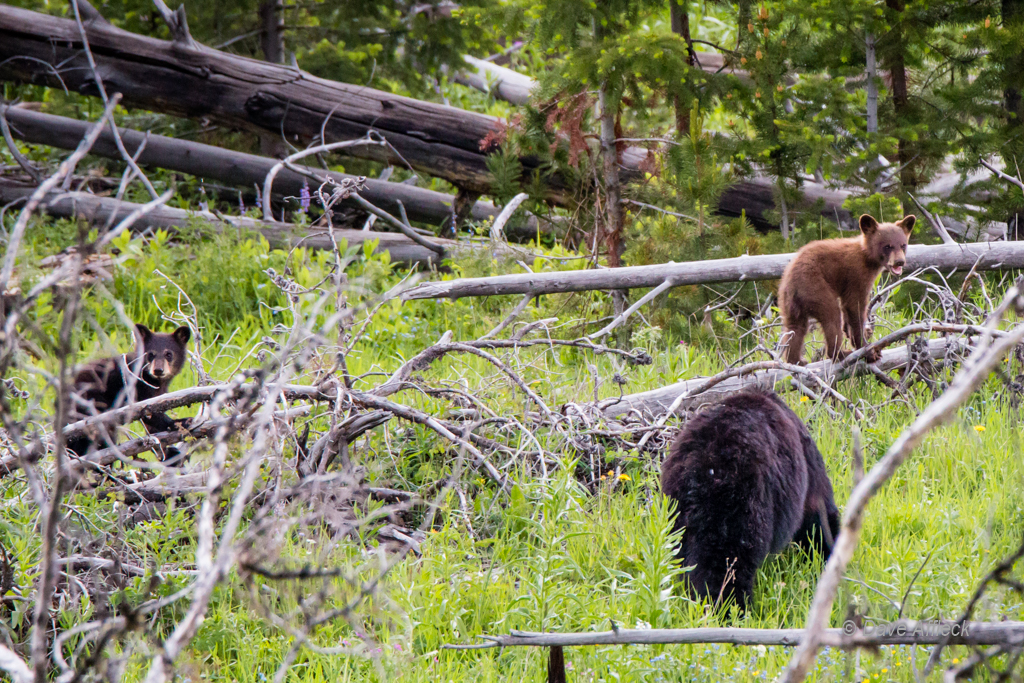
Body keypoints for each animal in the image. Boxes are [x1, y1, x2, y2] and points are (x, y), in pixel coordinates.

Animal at [68, 325, 192, 462]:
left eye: (168, 354)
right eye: (150, 354)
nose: (158, 370)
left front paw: (169, 452)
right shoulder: (139, 387)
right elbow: (148, 413)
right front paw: (180, 422)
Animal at [663, 389, 839, 614]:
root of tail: (702, 470)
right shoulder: (808, 465)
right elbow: (818, 515)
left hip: (676, 514)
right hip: (740, 508)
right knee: (727, 564)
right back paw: (731, 609)